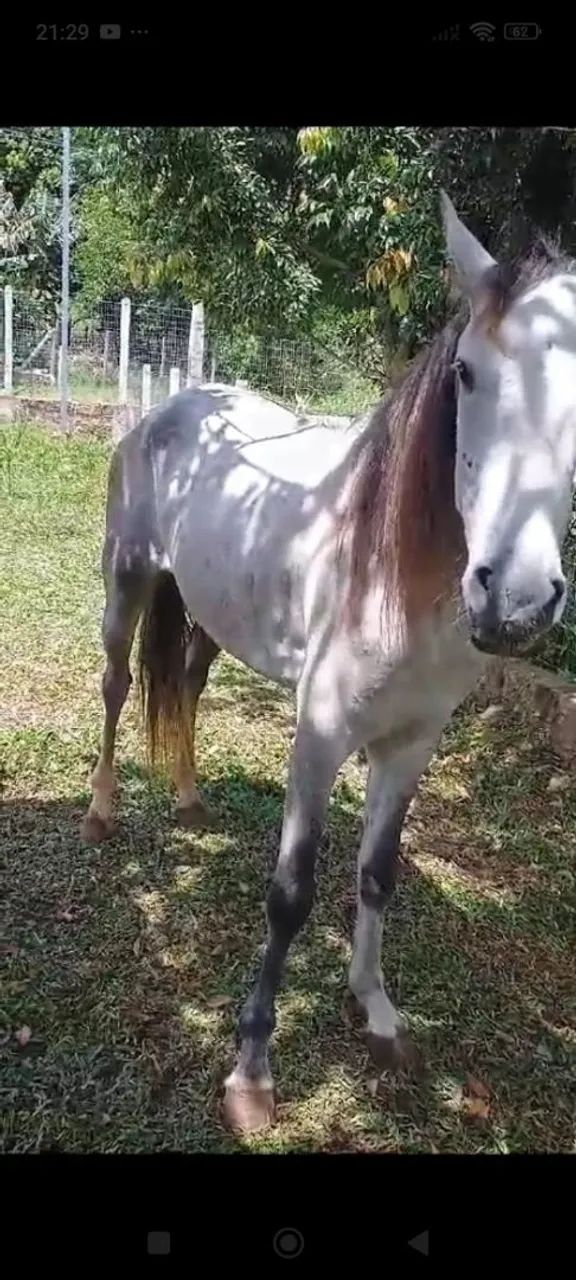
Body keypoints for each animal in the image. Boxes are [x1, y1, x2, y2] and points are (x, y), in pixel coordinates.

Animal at [82, 194, 576, 1133]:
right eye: (465, 374)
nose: (517, 600)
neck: (401, 579)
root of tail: (179, 404)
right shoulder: (318, 735)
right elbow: (292, 893)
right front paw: (250, 1074)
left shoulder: (412, 744)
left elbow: (377, 877)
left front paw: (376, 1012)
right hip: (126, 582)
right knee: (120, 686)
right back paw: (100, 813)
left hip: (211, 610)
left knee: (186, 683)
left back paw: (190, 800)